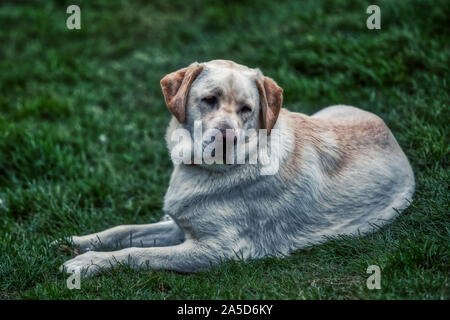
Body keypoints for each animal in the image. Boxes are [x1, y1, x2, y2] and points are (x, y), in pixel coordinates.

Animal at [59, 60, 414, 278]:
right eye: (209, 100)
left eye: (246, 109)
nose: (226, 137)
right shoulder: (181, 227)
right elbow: (124, 231)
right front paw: (77, 240)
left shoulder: (215, 249)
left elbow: (135, 253)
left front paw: (87, 263)